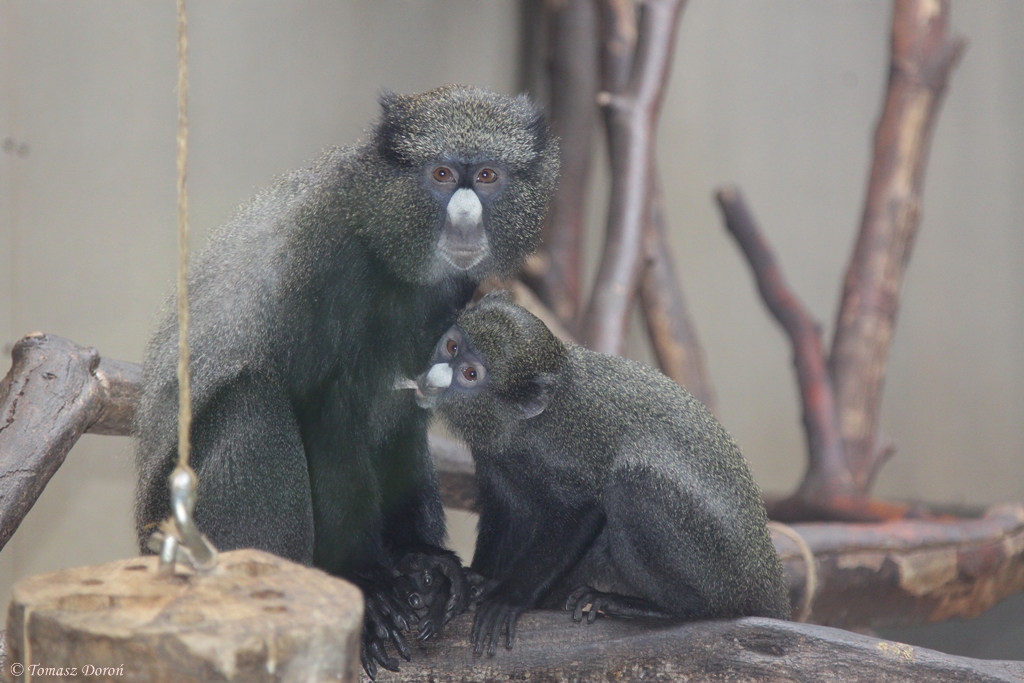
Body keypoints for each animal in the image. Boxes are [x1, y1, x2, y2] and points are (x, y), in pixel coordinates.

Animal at [133, 87, 559, 678]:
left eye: (488, 176)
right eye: (442, 174)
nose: (466, 220)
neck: (385, 241)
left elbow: (406, 409)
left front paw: (422, 558)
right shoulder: (325, 262)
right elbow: (323, 411)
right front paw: (367, 582)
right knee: (253, 401)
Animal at [411, 291, 790, 655]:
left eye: (469, 374)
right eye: (452, 347)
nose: (434, 376)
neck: (524, 421)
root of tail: (768, 580)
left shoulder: (561, 451)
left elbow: (581, 510)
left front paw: (508, 595)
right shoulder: (495, 460)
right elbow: (503, 510)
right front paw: (466, 585)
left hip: (721, 576)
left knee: (631, 486)